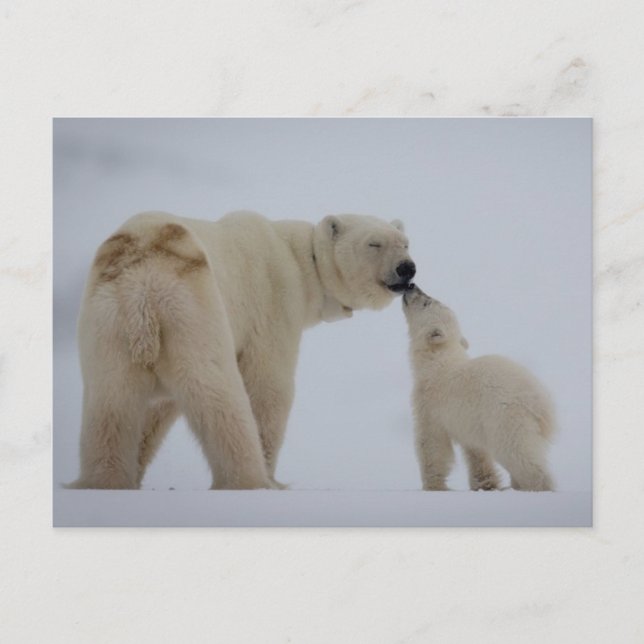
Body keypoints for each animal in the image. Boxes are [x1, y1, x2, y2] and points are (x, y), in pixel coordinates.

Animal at [71, 210, 416, 490]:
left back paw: (102, 482)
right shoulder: (274, 304)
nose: (407, 268)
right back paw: (250, 481)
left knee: (110, 404)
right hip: (192, 310)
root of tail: (141, 291)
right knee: (218, 394)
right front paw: (273, 476)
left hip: (108, 322)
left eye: (405, 242)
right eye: (374, 244)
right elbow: (269, 388)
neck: (299, 259)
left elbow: (156, 411)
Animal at [402, 285, 555, 492]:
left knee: (517, 453)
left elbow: (432, 443)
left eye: (427, 302)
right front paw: (485, 484)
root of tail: (540, 403)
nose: (412, 286)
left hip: (505, 416)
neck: (438, 361)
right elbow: (476, 451)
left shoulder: (430, 403)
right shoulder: (469, 418)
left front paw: (433, 486)